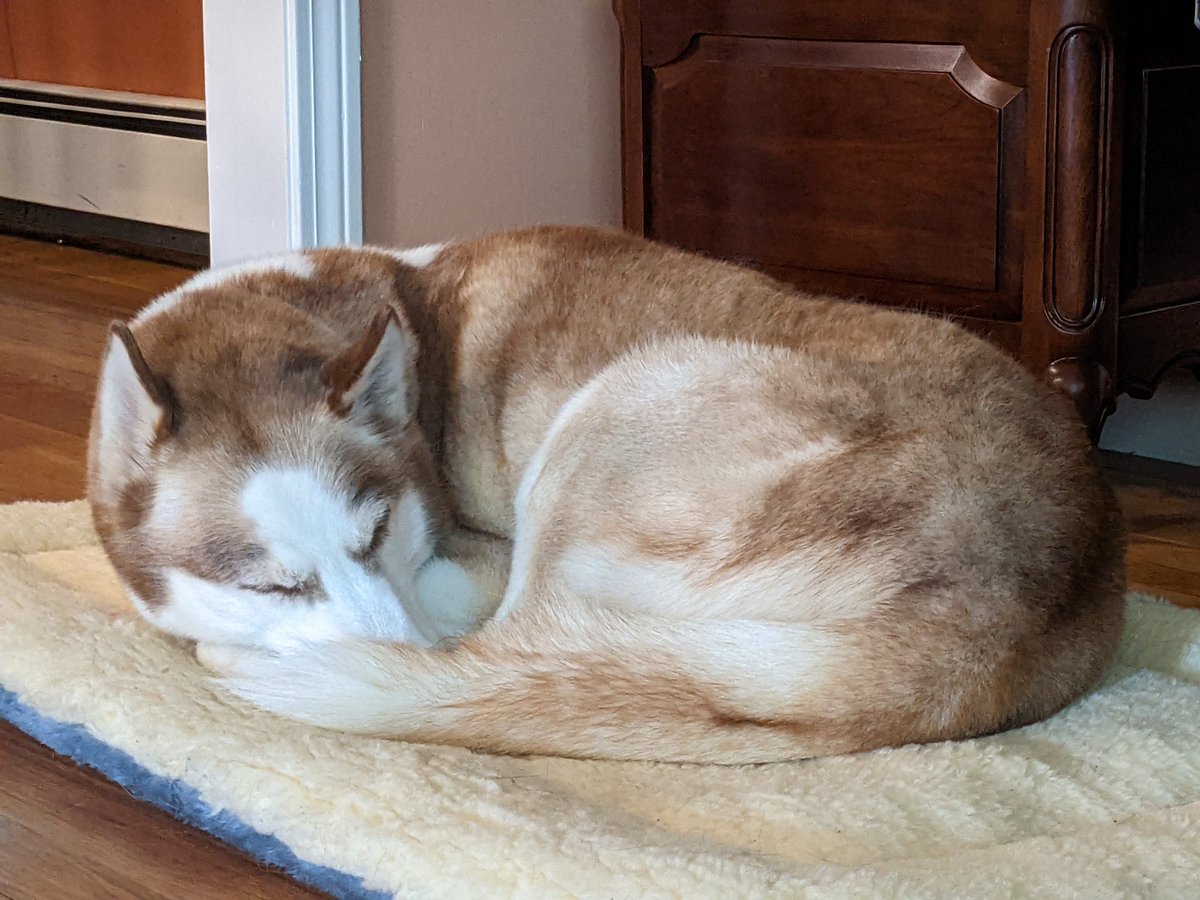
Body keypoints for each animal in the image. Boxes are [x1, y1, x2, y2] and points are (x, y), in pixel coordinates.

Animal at [87, 226, 1125, 763]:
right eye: (271, 582)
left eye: (379, 531)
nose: (404, 650)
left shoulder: (476, 559)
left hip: (620, 404)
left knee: (510, 660)